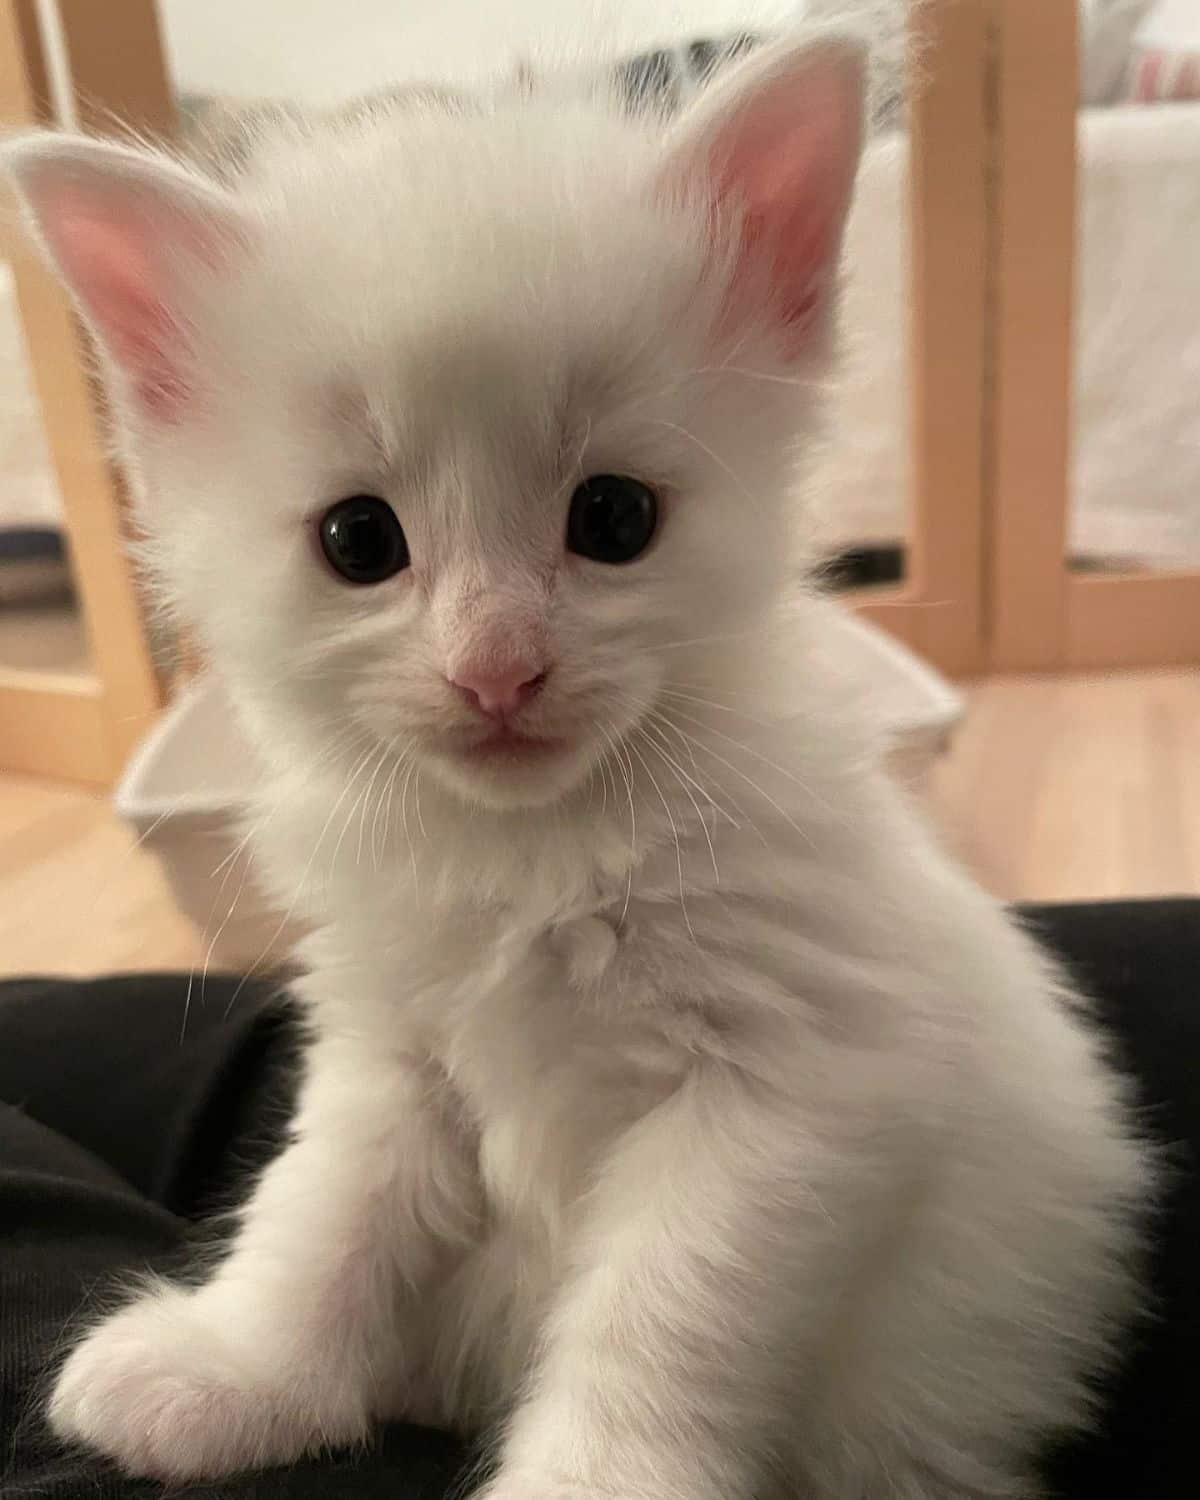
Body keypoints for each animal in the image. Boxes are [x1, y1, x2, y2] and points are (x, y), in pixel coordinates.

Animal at [2, 26, 1146, 1500]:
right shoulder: (392, 1054)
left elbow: (665, 1315)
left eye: (613, 518)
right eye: (359, 540)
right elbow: (322, 1215)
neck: (534, 850)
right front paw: (238, 1370)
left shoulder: (789, 1088)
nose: (497, 671)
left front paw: (596, 1477)